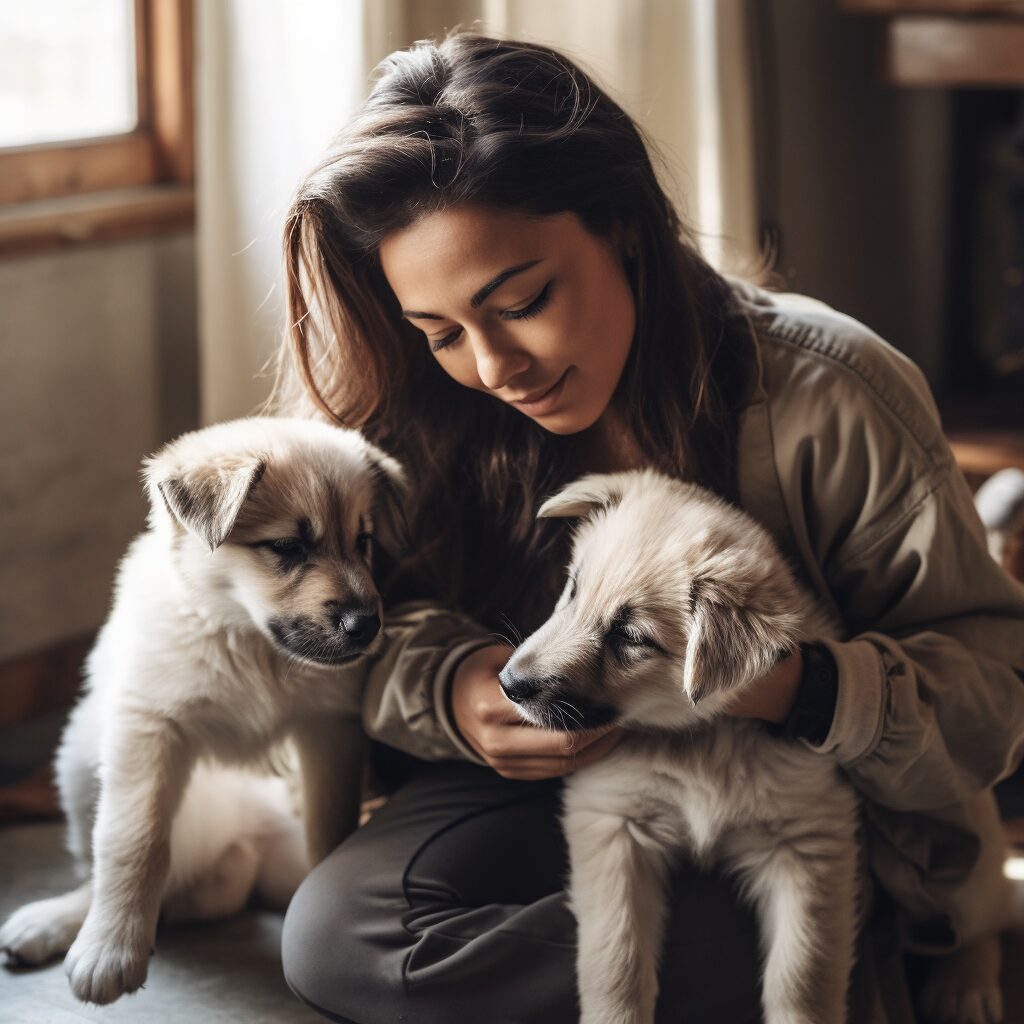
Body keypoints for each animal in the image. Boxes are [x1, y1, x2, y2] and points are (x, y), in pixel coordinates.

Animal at [0, 417, 405, 1007]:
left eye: (363, 541)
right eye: (287, 546)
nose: (367, 627)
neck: (247, 637)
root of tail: (250, 842)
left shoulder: (328, 729)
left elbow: (331, 827)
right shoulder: (150, 724)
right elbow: (132, 839)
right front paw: (111, 952)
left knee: (216, 887)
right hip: (78, 757)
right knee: (104, 868)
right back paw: (57, 923)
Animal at [499, 468, 1019, 1024]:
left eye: (630, 637)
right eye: (573, 589)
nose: (509, 684)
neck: (700, 739)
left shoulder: (806, 845)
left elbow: (803, 978)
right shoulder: (613, 824)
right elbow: (615, 961)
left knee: (983, 907)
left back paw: (965, 986)